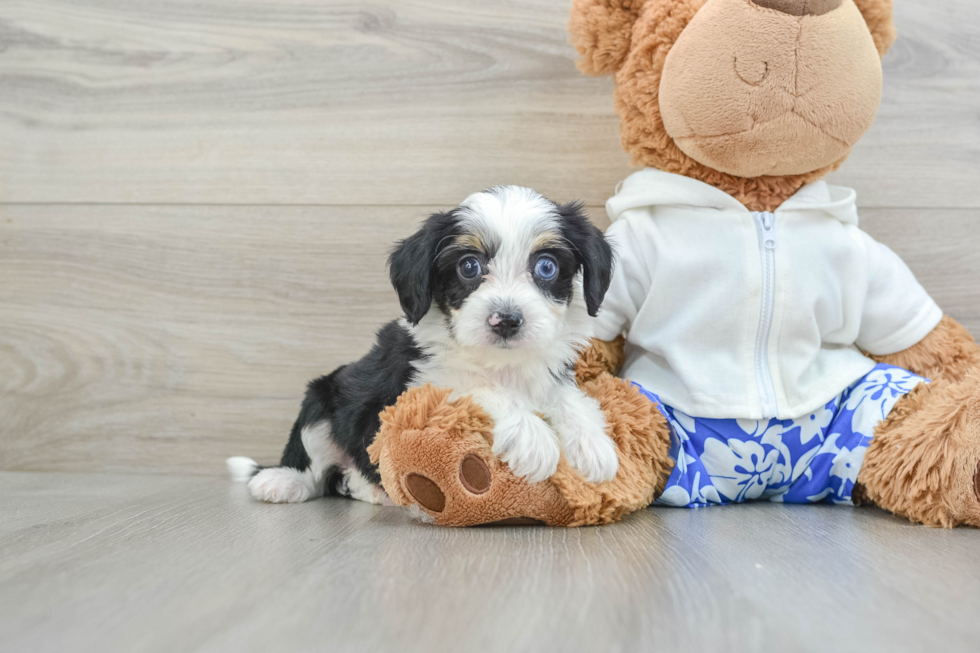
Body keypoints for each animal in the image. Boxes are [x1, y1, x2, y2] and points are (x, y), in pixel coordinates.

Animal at [226, 185, 616, 504]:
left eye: (547, 267)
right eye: (468, 266)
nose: (506, 320)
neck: (499, 362)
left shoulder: (549, 371)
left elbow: (567, 397)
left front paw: (592, 444)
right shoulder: (419, 388)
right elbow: (479, 387)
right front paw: (532, 436)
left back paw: (370, 489)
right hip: (320, 401)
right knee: (313, 467)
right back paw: (281, 482)